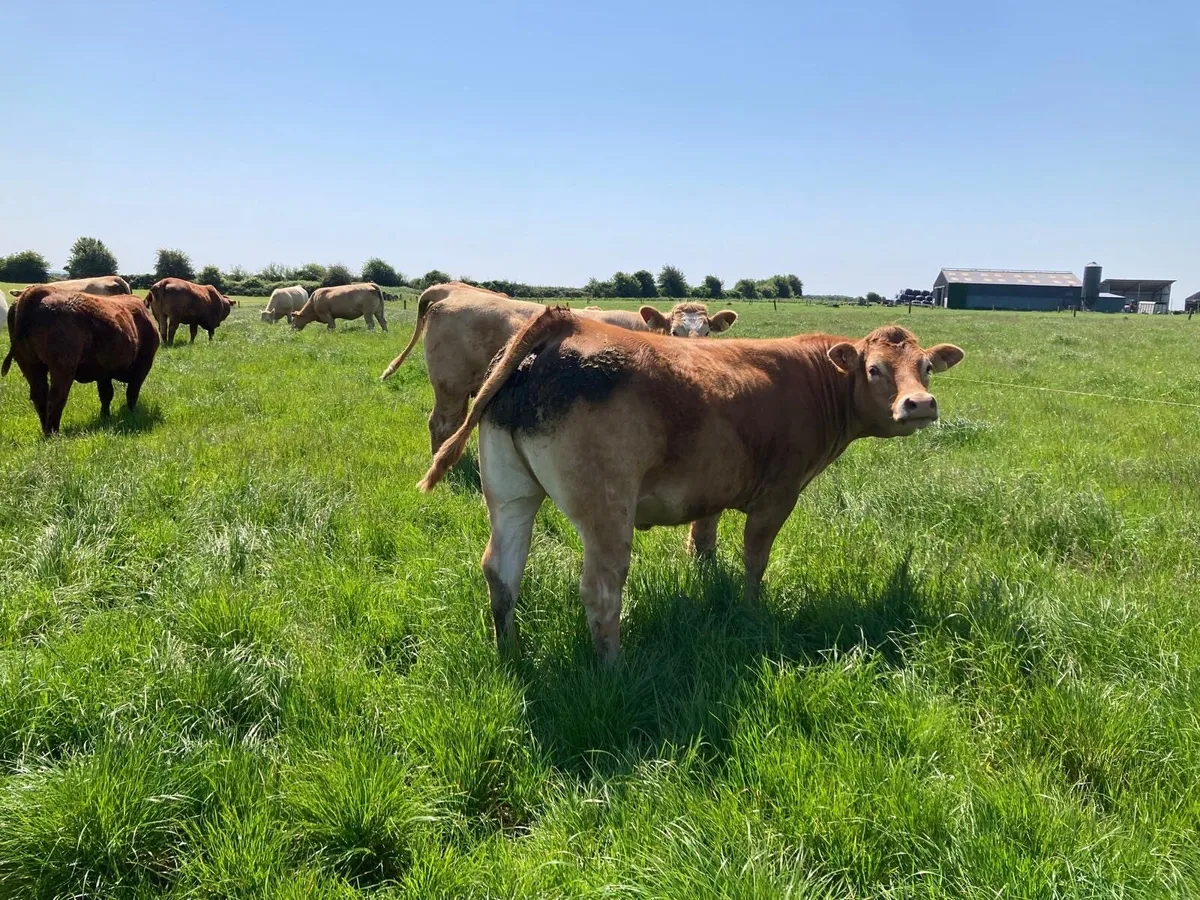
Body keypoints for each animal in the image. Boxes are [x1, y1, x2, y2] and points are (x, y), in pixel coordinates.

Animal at [2, 286, 160, 436]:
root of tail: (38, 291)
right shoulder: (144, 363)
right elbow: (132, 392)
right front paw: (132, 414)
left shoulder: (104, 371)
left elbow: (106, 394)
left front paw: (105, 417)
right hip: (63, 366)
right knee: (56, 397)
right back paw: (54, 434)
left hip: (29, 363)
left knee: (39, 396)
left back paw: (46, 431)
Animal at [418, 311, 964, 661]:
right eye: (874, 369)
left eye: (926, 368)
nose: (919, 404)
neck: (812, 378)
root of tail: (564, 324)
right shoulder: (778, 494)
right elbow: (755, 559)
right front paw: (750, 609)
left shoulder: (711, 489)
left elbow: (703, 543)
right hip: (606, 508)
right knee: (601, 590)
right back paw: (614, 669)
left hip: (510, 495)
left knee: (501, 574)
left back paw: (509, 654)